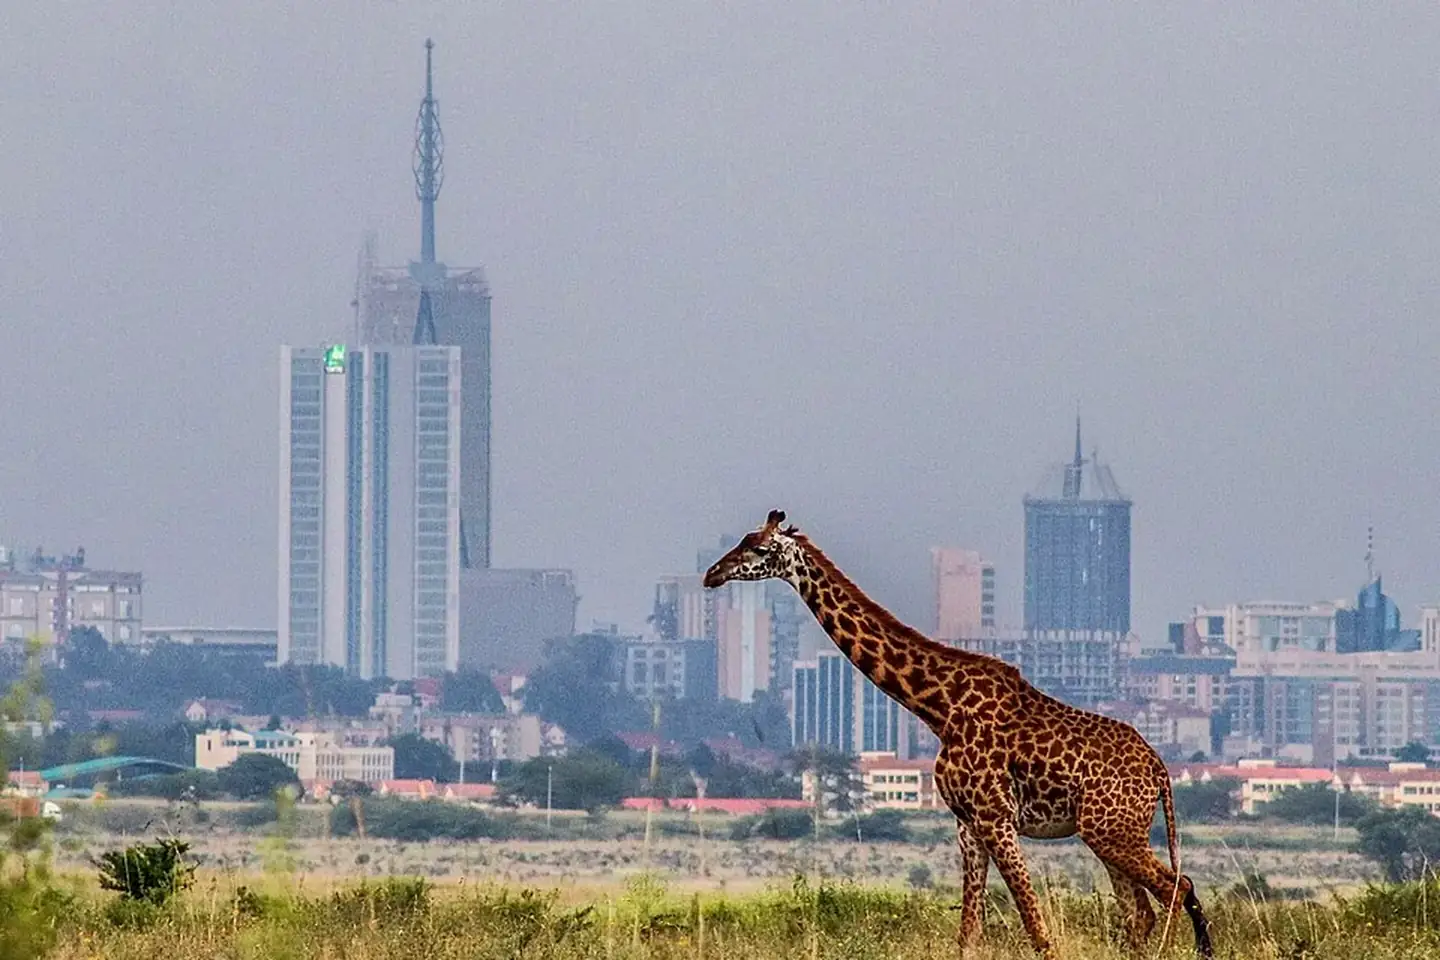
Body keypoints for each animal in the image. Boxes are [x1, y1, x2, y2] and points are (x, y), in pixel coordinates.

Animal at [703, 510, 1212, 960]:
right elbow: (969, 933)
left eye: (760, 548)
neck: (938, 707)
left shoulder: (996, 817)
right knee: (1141, 912)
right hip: (1109, 834)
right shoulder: (967, 824)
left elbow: (1036, 928)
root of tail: (1160, 772)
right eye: (742, 539)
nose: (712, 574)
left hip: (1113, 831)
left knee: (1176, 889)